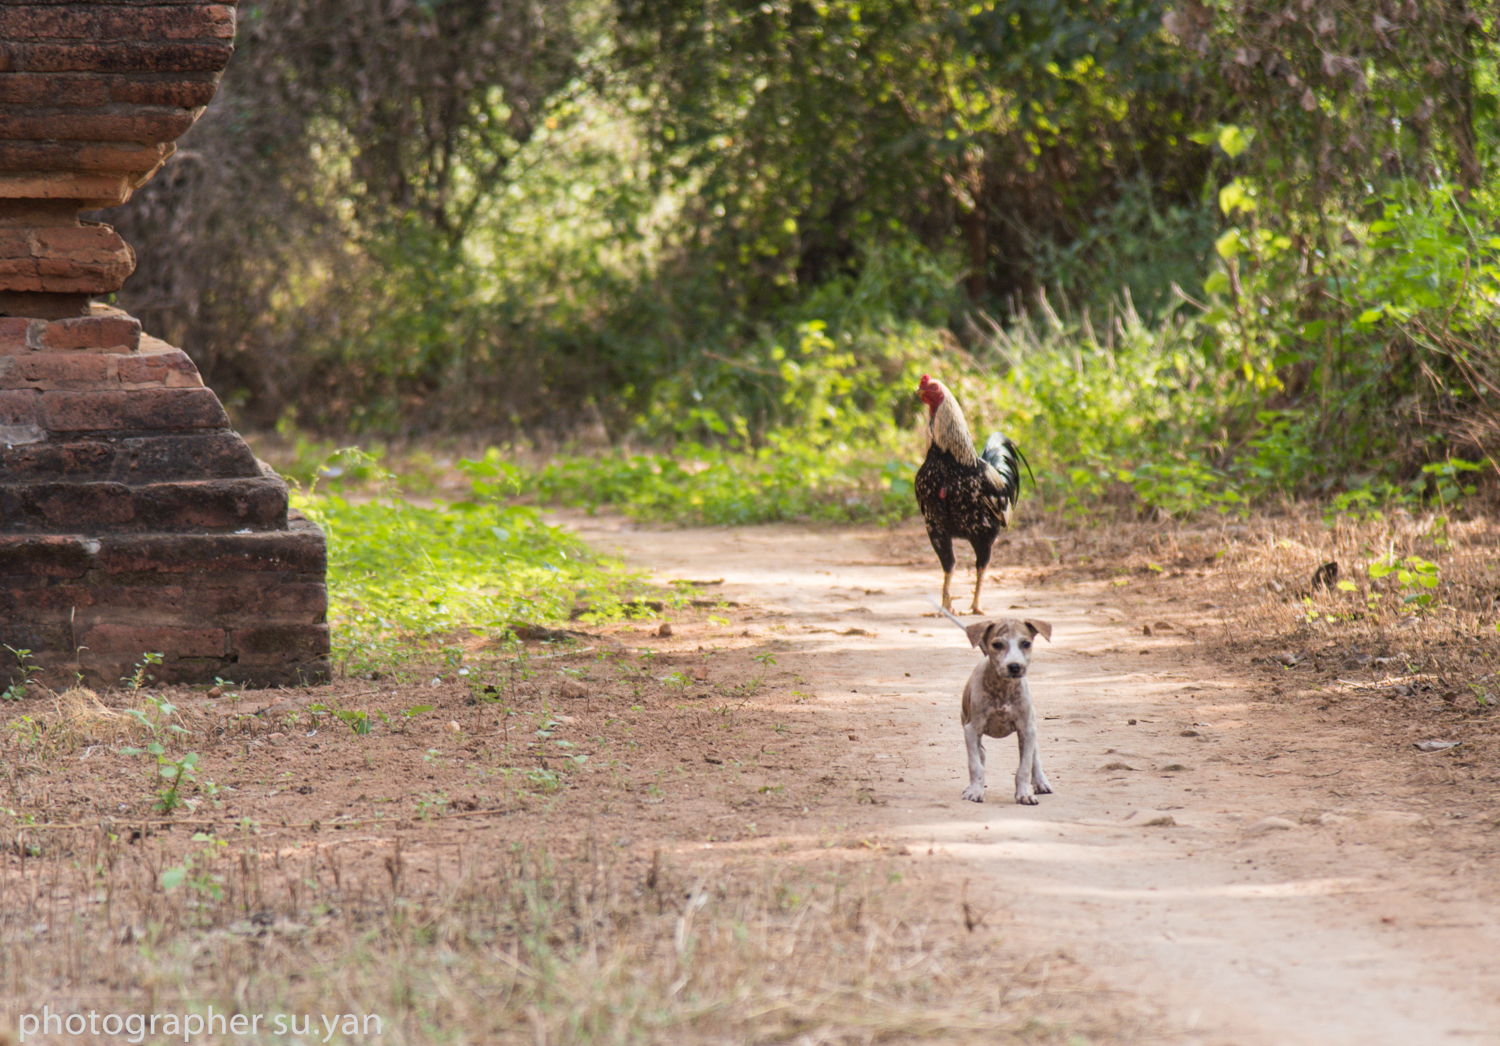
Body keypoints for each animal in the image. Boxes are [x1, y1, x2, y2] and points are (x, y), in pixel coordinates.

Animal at [924, 600, 1056, 804]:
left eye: (1026, 643)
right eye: (997, 644)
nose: (1015, 666)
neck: (1002, 689)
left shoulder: (1026, 729)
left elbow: (1024, 767)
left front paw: (1024, 793)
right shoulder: (972, 729)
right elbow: (975, 765)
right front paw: (975, 791)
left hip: (1031, 726)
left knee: (1035, 756)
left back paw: (1041, 782)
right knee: (982, 754)